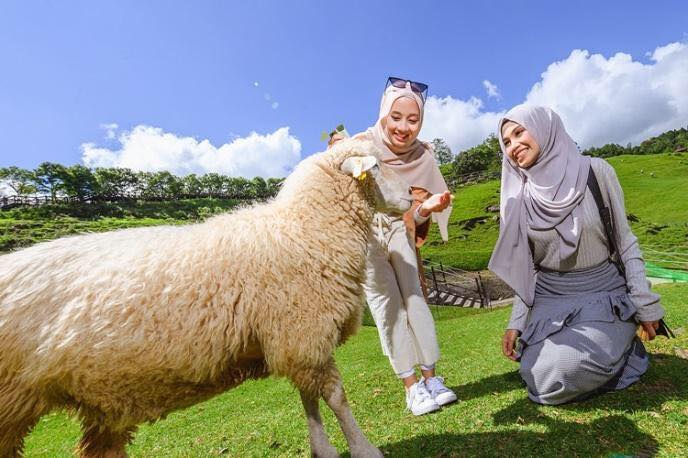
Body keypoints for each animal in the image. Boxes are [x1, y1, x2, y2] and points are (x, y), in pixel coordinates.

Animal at [0, 140, 408, 458]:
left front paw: (323, 449)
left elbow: (309, 401)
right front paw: (364, 448)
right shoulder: (303, 331)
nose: (410, 196)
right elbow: (336, 398)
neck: (308, 228)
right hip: (11, 396)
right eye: (378, 165)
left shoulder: (293, 342)